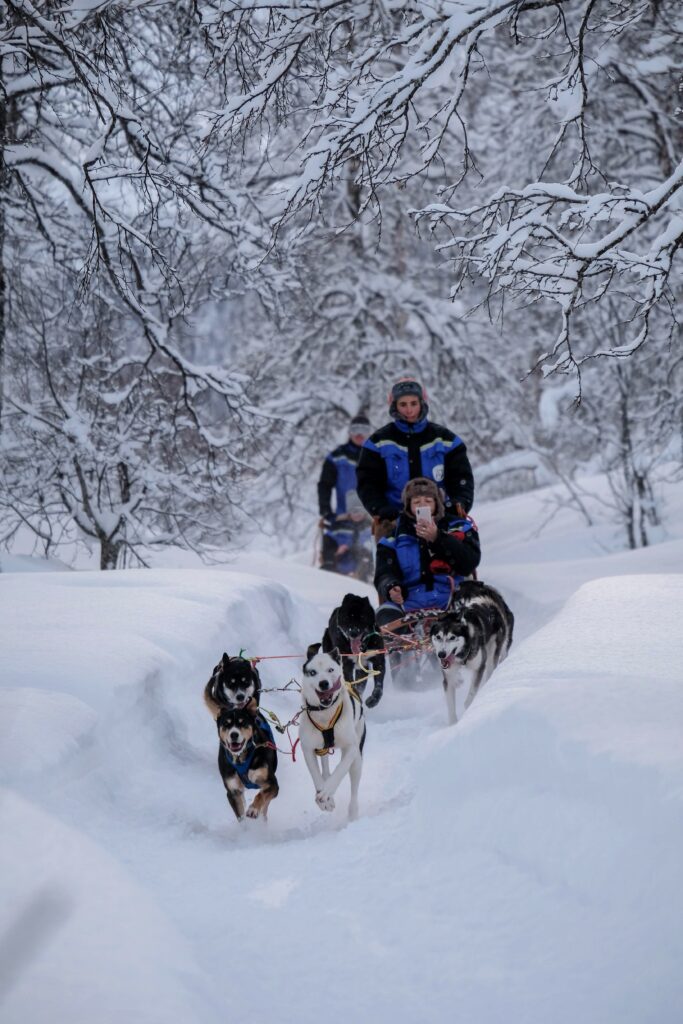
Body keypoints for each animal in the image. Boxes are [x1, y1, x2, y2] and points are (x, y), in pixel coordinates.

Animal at [296, 643, 366, 819]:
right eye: (312, 672)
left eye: (330, 670)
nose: (323, 683)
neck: (325, 714)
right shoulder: (308, 748)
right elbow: (316, 774)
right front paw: (325, 799)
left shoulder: (351, 747)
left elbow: (340, 770)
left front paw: (327, 792)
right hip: (322, 748)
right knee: (325, 765)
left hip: (357, 759)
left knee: (354, 785)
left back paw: (353, 812)